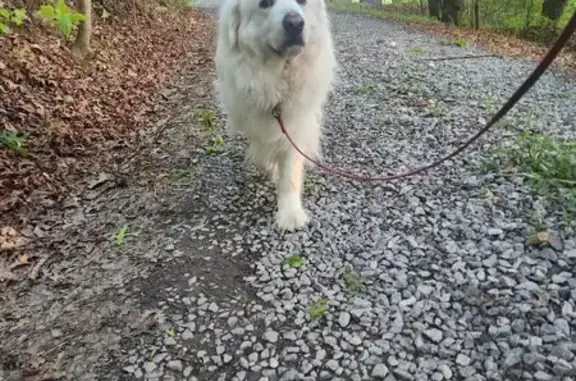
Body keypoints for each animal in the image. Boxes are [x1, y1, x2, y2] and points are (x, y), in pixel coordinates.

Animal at [214, 0, 336, 230]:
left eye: (302, 2)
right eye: (265, 3)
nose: (295, 23)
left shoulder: (296, 125)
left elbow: (289, 172)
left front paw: (290, 213)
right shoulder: (254, 119)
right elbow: (264, 146)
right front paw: (270, 165)